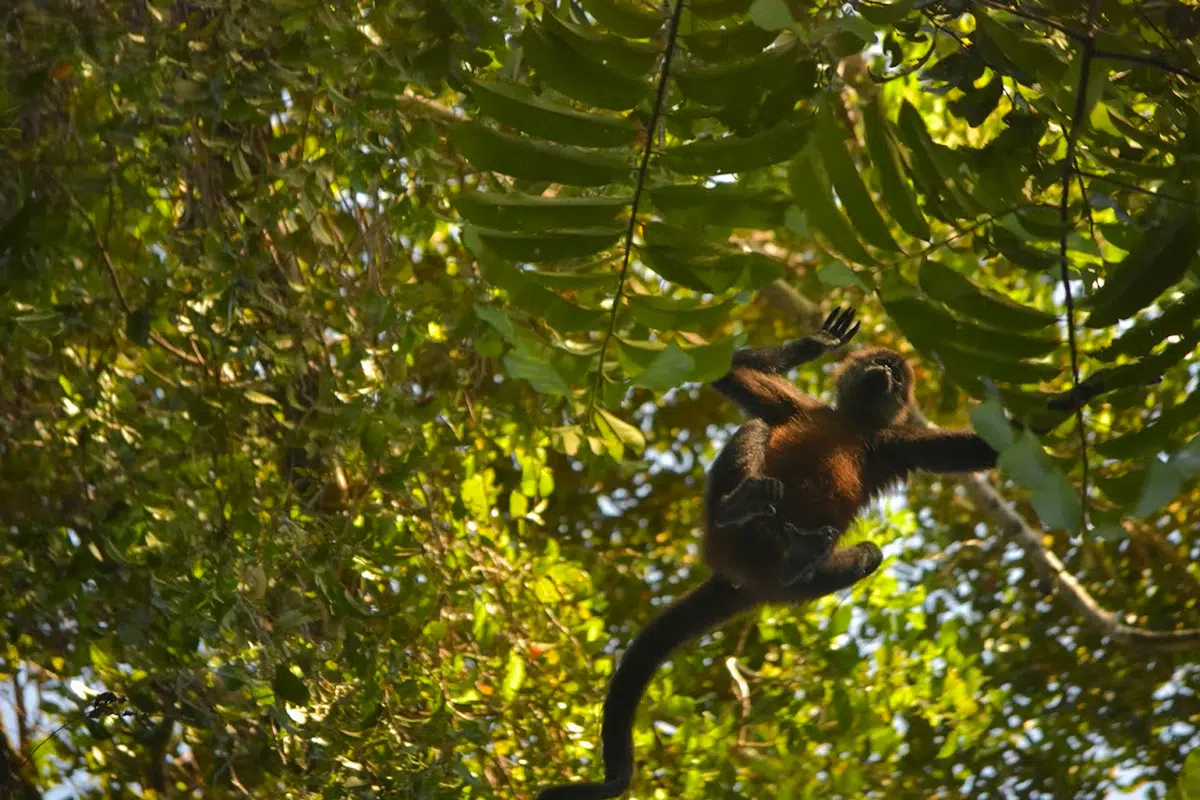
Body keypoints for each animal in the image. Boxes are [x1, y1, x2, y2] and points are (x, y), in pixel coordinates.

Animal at [536, 307, 1115, 800]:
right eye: (881, 366)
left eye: (895, 375)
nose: (883, 371)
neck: (852, 424)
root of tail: (745, 575)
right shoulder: (803, 408)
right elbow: (729, 374)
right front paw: (815, 343)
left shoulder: (894, 444)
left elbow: (990, 448)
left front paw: (1078, 394)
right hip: (725, 532)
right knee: (756, 429)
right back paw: (738, 507)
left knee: (869, 554)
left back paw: (801, 560)